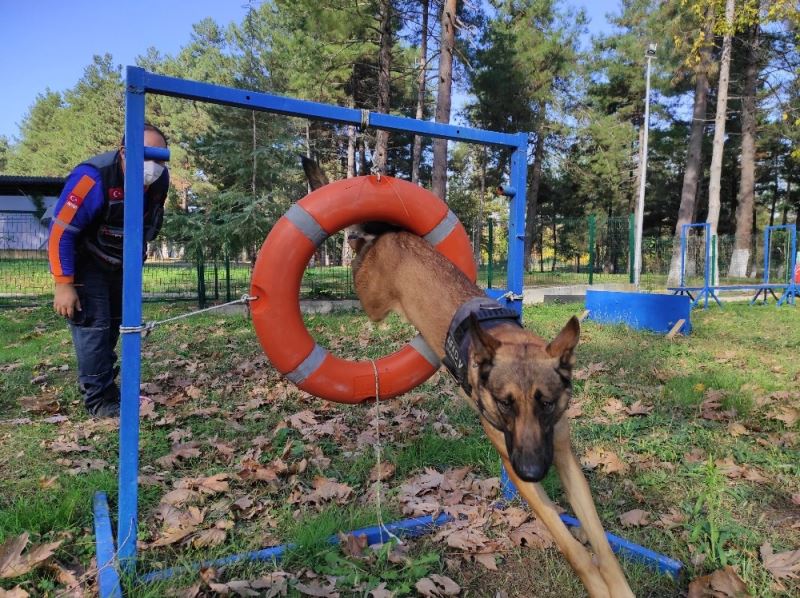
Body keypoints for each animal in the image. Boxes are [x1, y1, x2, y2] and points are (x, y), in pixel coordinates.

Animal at [304, 159, 636, 598]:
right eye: (504, 403)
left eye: (546, 402)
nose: (533, 471)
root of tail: (393, 235)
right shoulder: (514, 460)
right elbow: (573, 548)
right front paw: (596, 582)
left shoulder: (563, 455)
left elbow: (600, 541)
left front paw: (617, 585)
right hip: (370, 297)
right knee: (356, 251)